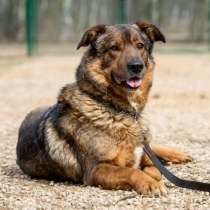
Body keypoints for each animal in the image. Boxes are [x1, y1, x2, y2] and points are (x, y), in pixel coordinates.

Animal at [16, 21, 191, 195]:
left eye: (140, 45)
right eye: (114, 47)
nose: (137, 66)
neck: (117, 109)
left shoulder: (142, 154)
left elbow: (153, 167)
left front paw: (155, 175)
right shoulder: (96, 169)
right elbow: (131, 171)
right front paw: (150, 183)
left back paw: (178, 154)